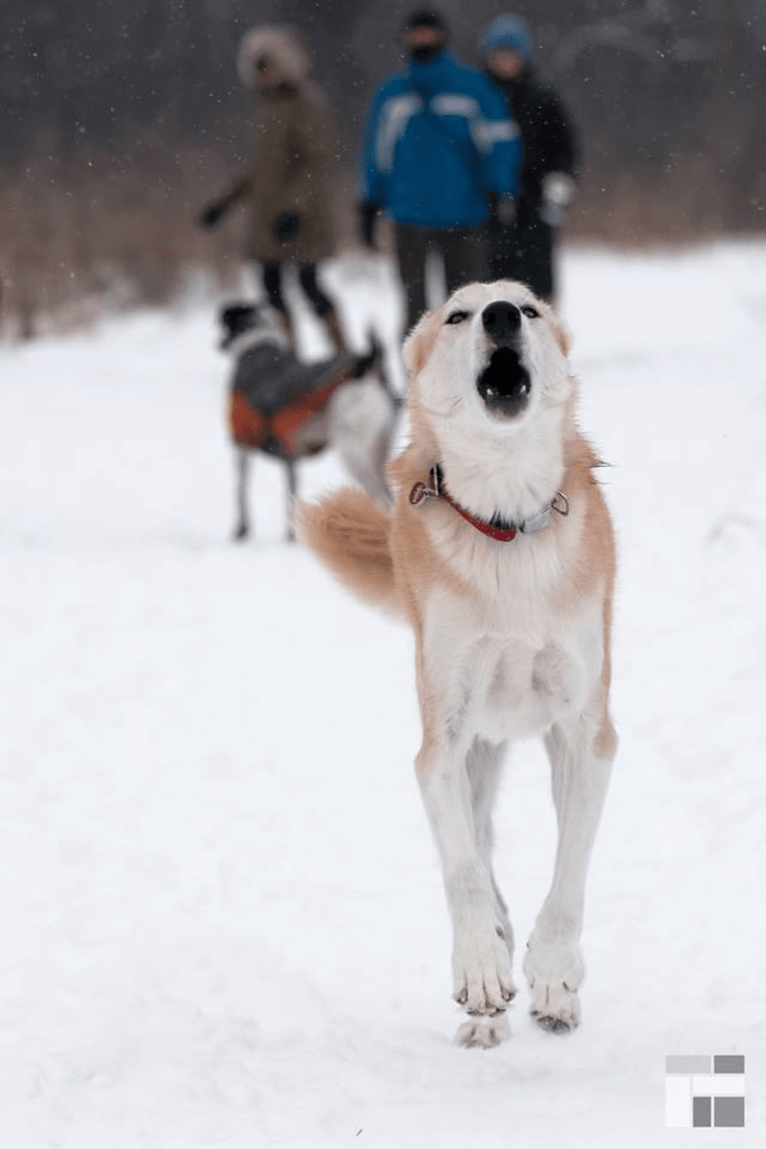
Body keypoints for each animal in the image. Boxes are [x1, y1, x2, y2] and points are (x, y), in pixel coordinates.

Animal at [215, 303, 395, 540]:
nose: (218, 344)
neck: (258, 345)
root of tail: (363, 370)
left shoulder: (242, 446)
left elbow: (241, 492)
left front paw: (242, 530)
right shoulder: (289, 453)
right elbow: (291, 494)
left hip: (354, 452)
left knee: (381, 499)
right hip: (380, 450)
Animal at [296, 280, 620, 1052]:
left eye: (529, 310)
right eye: (458, 315)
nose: (500, 316)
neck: (506, 527)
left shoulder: (587, 736)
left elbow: (569, 873)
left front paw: (555, 973)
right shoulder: (442, 743)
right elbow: (466, 872)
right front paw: (481, 965)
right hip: (474, 750)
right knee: (478, 849)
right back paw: (488, 993)